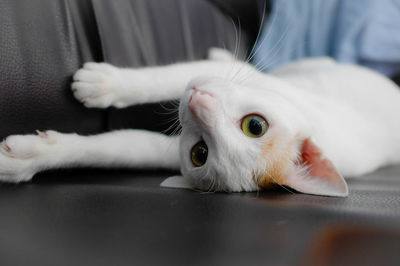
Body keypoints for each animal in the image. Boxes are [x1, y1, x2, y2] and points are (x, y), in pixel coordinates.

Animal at [0, 48, 400, 196]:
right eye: (256, 126)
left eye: (200, 154)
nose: (196, 101)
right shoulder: (223, 78)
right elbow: (167, 77)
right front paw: (107, 84)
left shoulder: (166, 149)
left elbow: (120, 148)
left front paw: (28, 156)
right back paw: (225, 53)